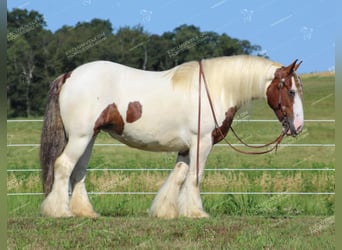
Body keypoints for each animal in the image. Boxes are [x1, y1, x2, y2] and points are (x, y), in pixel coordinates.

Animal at [40, 53, 304, 218]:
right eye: (291, 91)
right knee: (63, 165)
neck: (217, 89)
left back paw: (85, 211)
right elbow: (195, 176)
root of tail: (69, 75)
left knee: (79, 171)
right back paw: (60, 211)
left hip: (89, 137)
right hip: (80, 137)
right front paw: (196, 212)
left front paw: (166, 211)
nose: (299, 126)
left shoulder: (187, 147)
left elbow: (178, 176)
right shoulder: (202, 142)